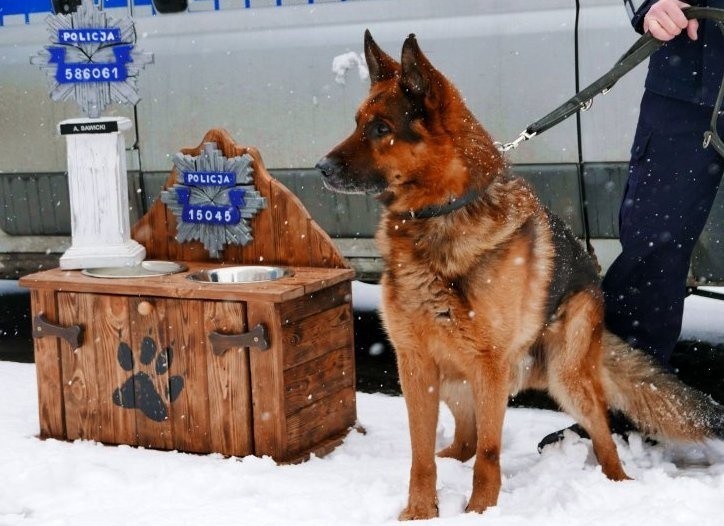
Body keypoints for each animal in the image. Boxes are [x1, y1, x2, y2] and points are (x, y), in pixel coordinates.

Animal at [316, 32, 724, 520]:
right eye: (358, 122)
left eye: (381, 129)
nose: (320, 168)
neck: (441, 217)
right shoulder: (414, 364)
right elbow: (420, 455)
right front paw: (419, 513)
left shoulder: (488, 366)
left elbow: (490, 455)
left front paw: (479, 512)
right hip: (453, 380)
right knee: (464, 441)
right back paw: (451, 459)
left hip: (565, 378)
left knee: (601, 433)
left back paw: (619, 484)